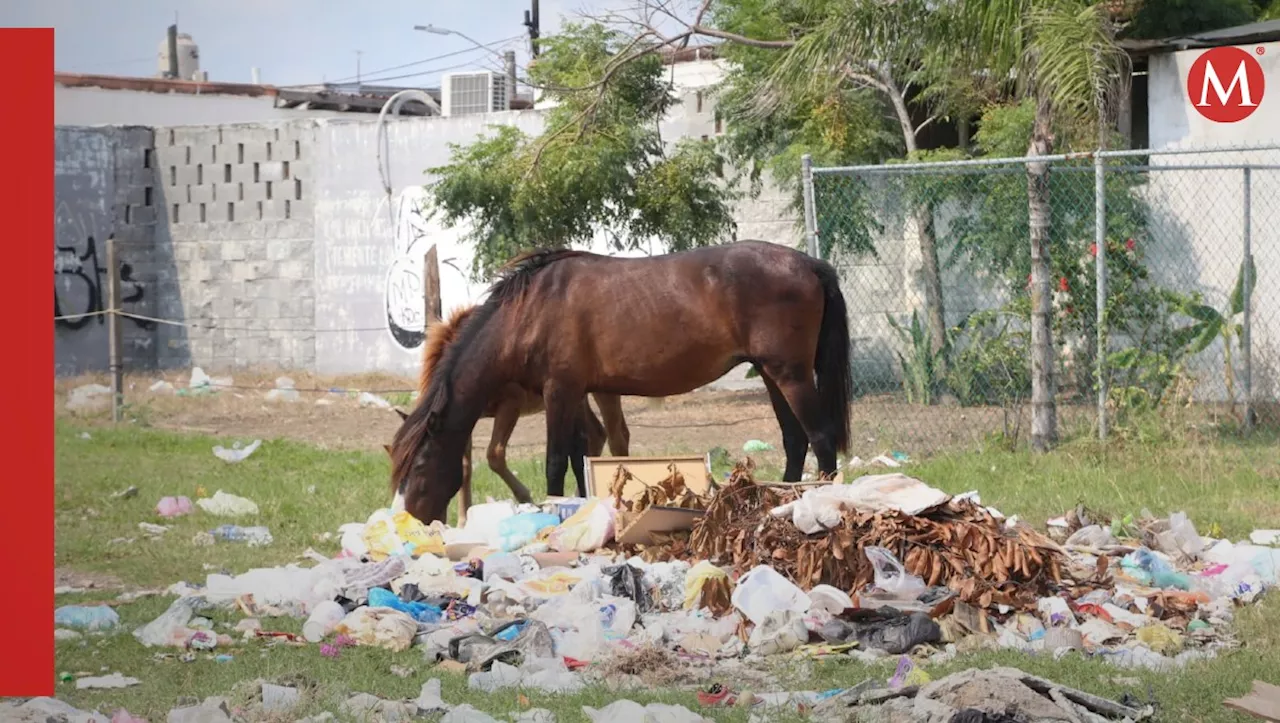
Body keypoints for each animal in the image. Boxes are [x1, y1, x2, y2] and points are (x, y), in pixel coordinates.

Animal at [386, 304, 632, 524]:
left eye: (419, 471)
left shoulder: (510, 405)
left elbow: (494, 455)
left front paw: (527, 499)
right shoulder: (462, 421)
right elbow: (465, 468)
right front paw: (463, 521)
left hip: (601, 392)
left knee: (616, 437)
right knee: (596, 434)